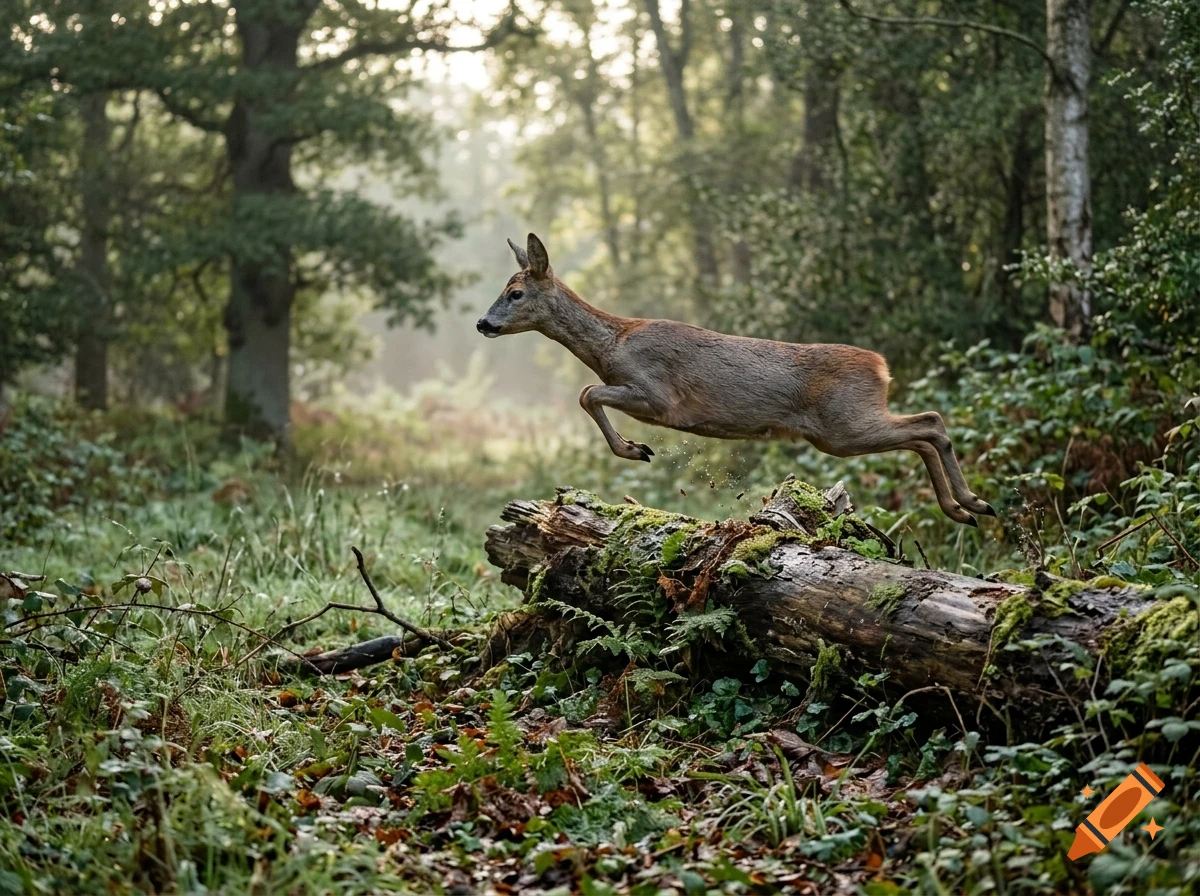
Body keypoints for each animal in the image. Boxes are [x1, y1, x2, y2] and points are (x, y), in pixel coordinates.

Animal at [477, 233, 996, 526]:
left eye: (515, 292)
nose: (483, 323)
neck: (611, 345)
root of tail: (880, 365)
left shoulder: (658, 396)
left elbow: (586, 393)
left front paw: (634, 449)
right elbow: (587, 393)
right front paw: (635, 448)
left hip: (844, 425)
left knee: (930, 423)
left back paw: (972, 503)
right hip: (842, 430)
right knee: (924, 432)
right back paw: (965, 509)